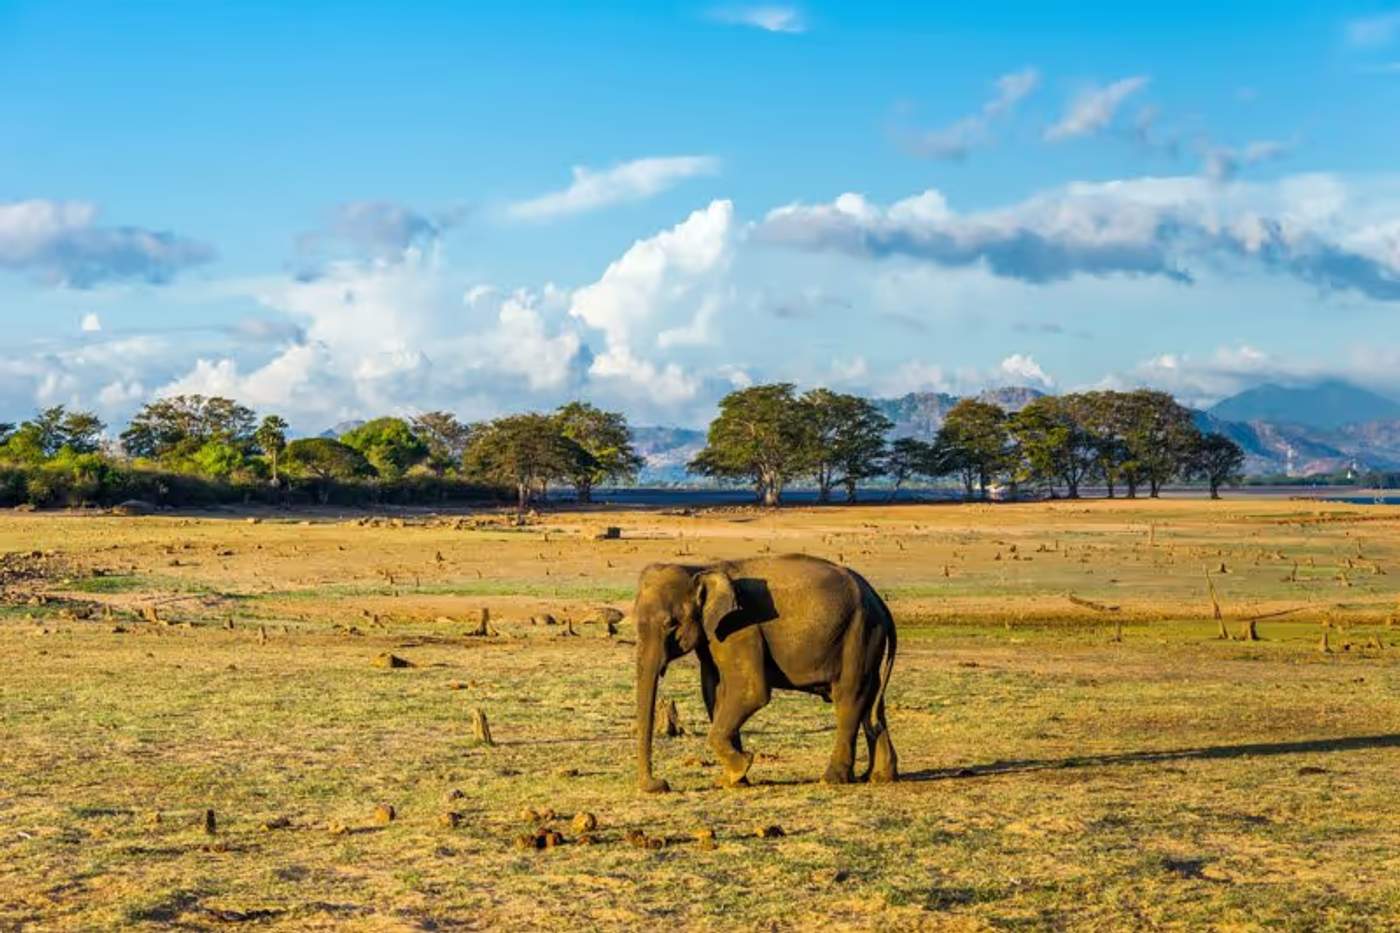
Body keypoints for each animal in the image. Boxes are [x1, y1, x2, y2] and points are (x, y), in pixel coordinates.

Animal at [633, 554, 897, 792]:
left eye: (670, 624)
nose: (660, 784)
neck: (700, 568)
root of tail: (879, 601)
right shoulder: (714, 635)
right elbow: (714, 691)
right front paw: (732, 781)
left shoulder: (739, 627)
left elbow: (750, 690)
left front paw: (742, 766)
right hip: (867, 640)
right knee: (872, 704)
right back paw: (879, 777)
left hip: (859, 634)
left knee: (849, 698)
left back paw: (831, 780)